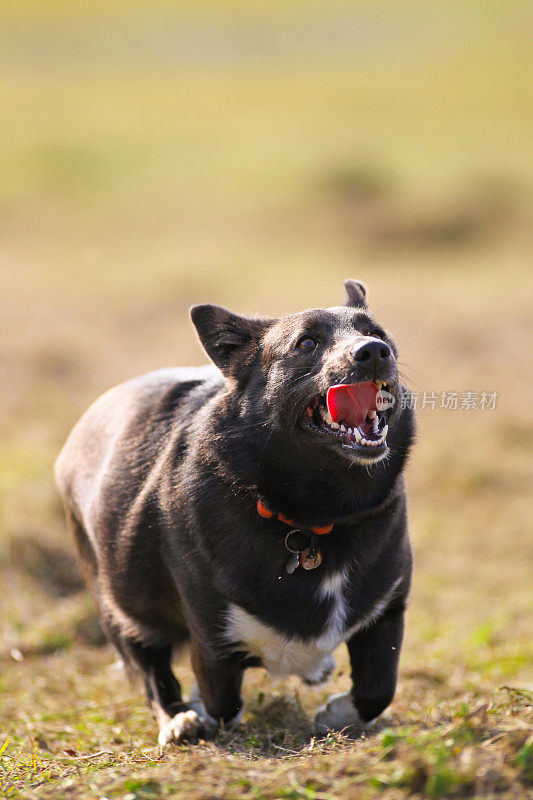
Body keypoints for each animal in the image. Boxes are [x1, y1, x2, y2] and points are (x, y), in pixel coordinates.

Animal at [54, 280, 414, 744]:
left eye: (378, 334)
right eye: (307, 343)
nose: (373, 352)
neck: (315, 515)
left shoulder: (389, 609)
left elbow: (378, 687)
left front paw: (338, 715)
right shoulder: (209, 630)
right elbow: (222, 699)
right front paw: (204, 715)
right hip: (117, 597)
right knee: (151, 667)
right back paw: (178, 719)